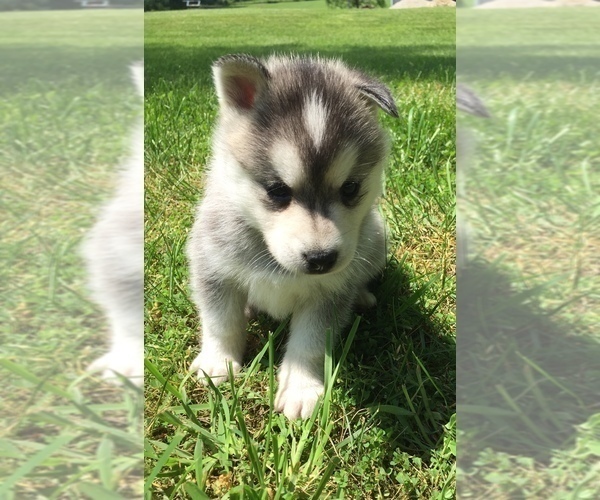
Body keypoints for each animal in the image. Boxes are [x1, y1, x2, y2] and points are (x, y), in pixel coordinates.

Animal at [188, 53, 398, 418]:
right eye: (277, 190)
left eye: (350, 188)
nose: (321, 259)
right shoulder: (212, 268)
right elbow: (220, 322)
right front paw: (218, 363)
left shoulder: (327, 293)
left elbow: (309, 343)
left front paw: (299, 389)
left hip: (374, 239)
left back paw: (362, 295)